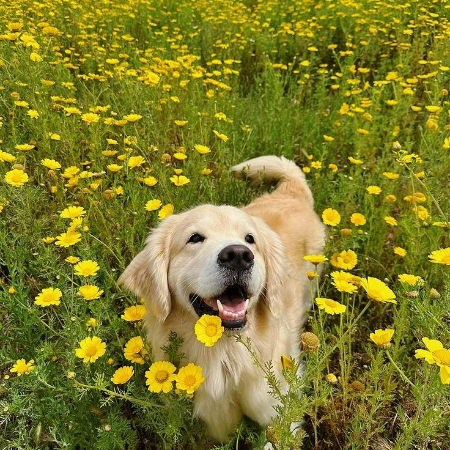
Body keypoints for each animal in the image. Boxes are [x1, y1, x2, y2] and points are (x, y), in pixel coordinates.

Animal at [118, 156, 324, 442]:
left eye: (250, 239)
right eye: (194, 238)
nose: (239, 255)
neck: (225, 356)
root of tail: (290, 192)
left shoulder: (281, 411)